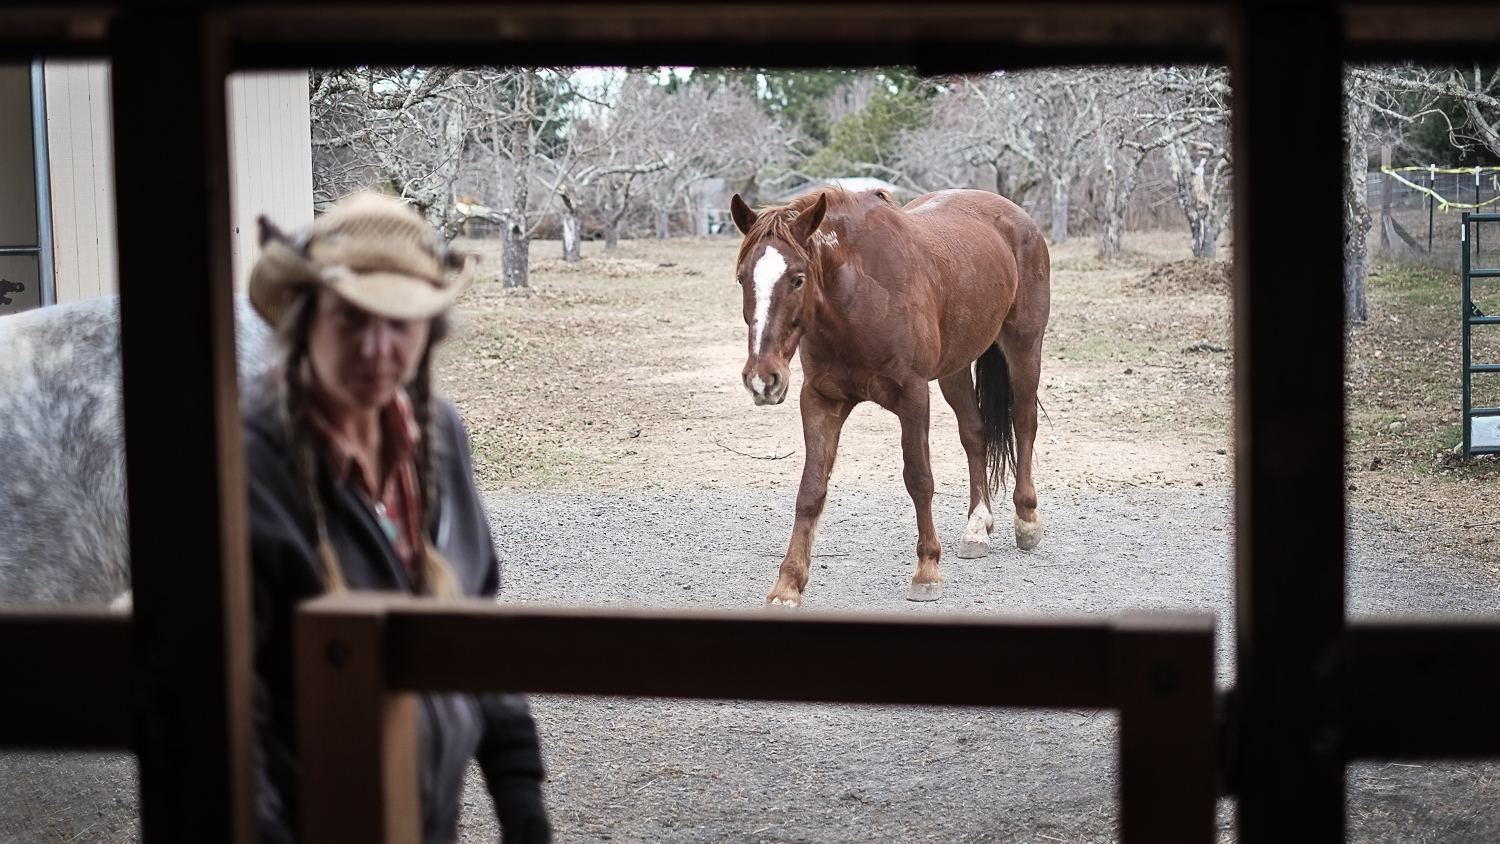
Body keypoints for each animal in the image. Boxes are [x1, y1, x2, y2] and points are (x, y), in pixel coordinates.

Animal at [732, 187, 1050, 605]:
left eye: (798, 279)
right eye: (742, 278)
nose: (761, 379)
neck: (859, 298)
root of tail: (1018, 216)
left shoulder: (913, 396)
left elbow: (919, 479)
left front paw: (927, 571)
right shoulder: (819, 400)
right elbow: (810, 491)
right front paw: (787, 584)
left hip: (1024, 347)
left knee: (1024, 423)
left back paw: (1027, 520)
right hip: (954, 369)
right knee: (975, 433)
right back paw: (977, 527)